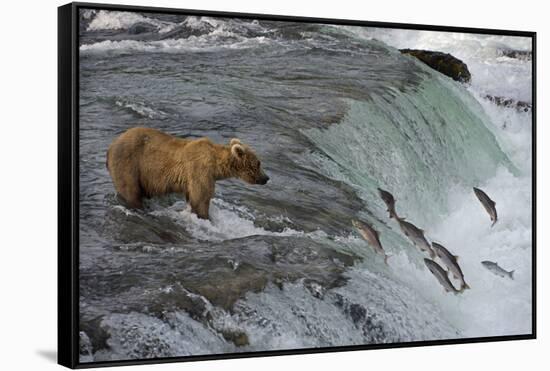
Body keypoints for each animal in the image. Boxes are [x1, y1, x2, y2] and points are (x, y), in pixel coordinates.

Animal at [105, 128, 270, 221]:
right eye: (258, 163)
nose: (266, 178)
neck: (216, 166)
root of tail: (111, 145)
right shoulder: (200, 172)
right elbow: (201, 198)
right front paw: (205, 218)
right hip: (129, 163)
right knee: (130, 190)